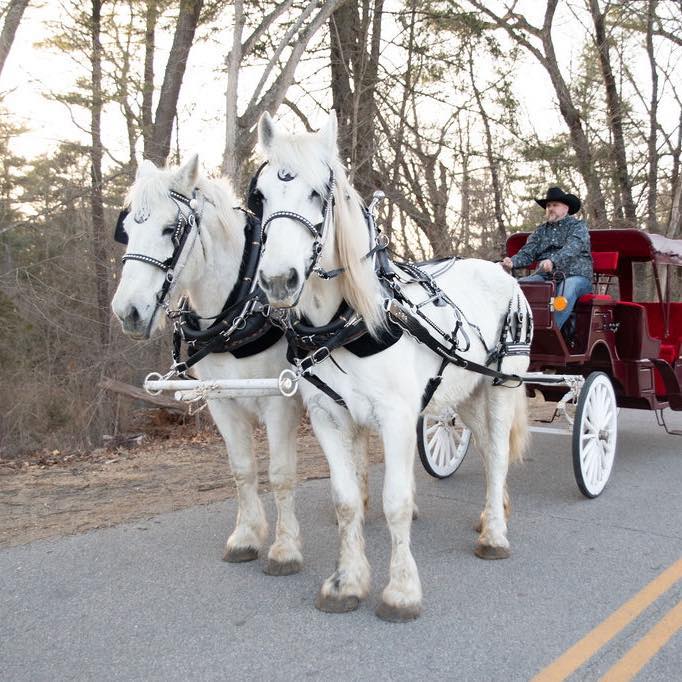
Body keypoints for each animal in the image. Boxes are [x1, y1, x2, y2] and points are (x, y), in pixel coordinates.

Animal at [111, 155, 304, 576]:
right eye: (128, 229)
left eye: (170, 229)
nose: (127, 312)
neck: (240, 306)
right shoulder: (221, 401)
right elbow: (242, 469)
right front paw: (246, 537)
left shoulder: (279, 401)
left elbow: (280, 474)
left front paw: (284, 548)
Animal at [252, 111, 531, 622]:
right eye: (259, 195)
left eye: (319, 193)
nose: (278, 280)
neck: (349, 321)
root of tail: (502, 271)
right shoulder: (328, 417)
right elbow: (346, 502)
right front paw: (346, 583)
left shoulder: (398, 417)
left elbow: (396, 502)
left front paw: (401, 591)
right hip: (467, 392)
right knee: (486, 453)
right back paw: (491, 512)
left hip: (503, 383)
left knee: (500, 454)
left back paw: (495, 536)